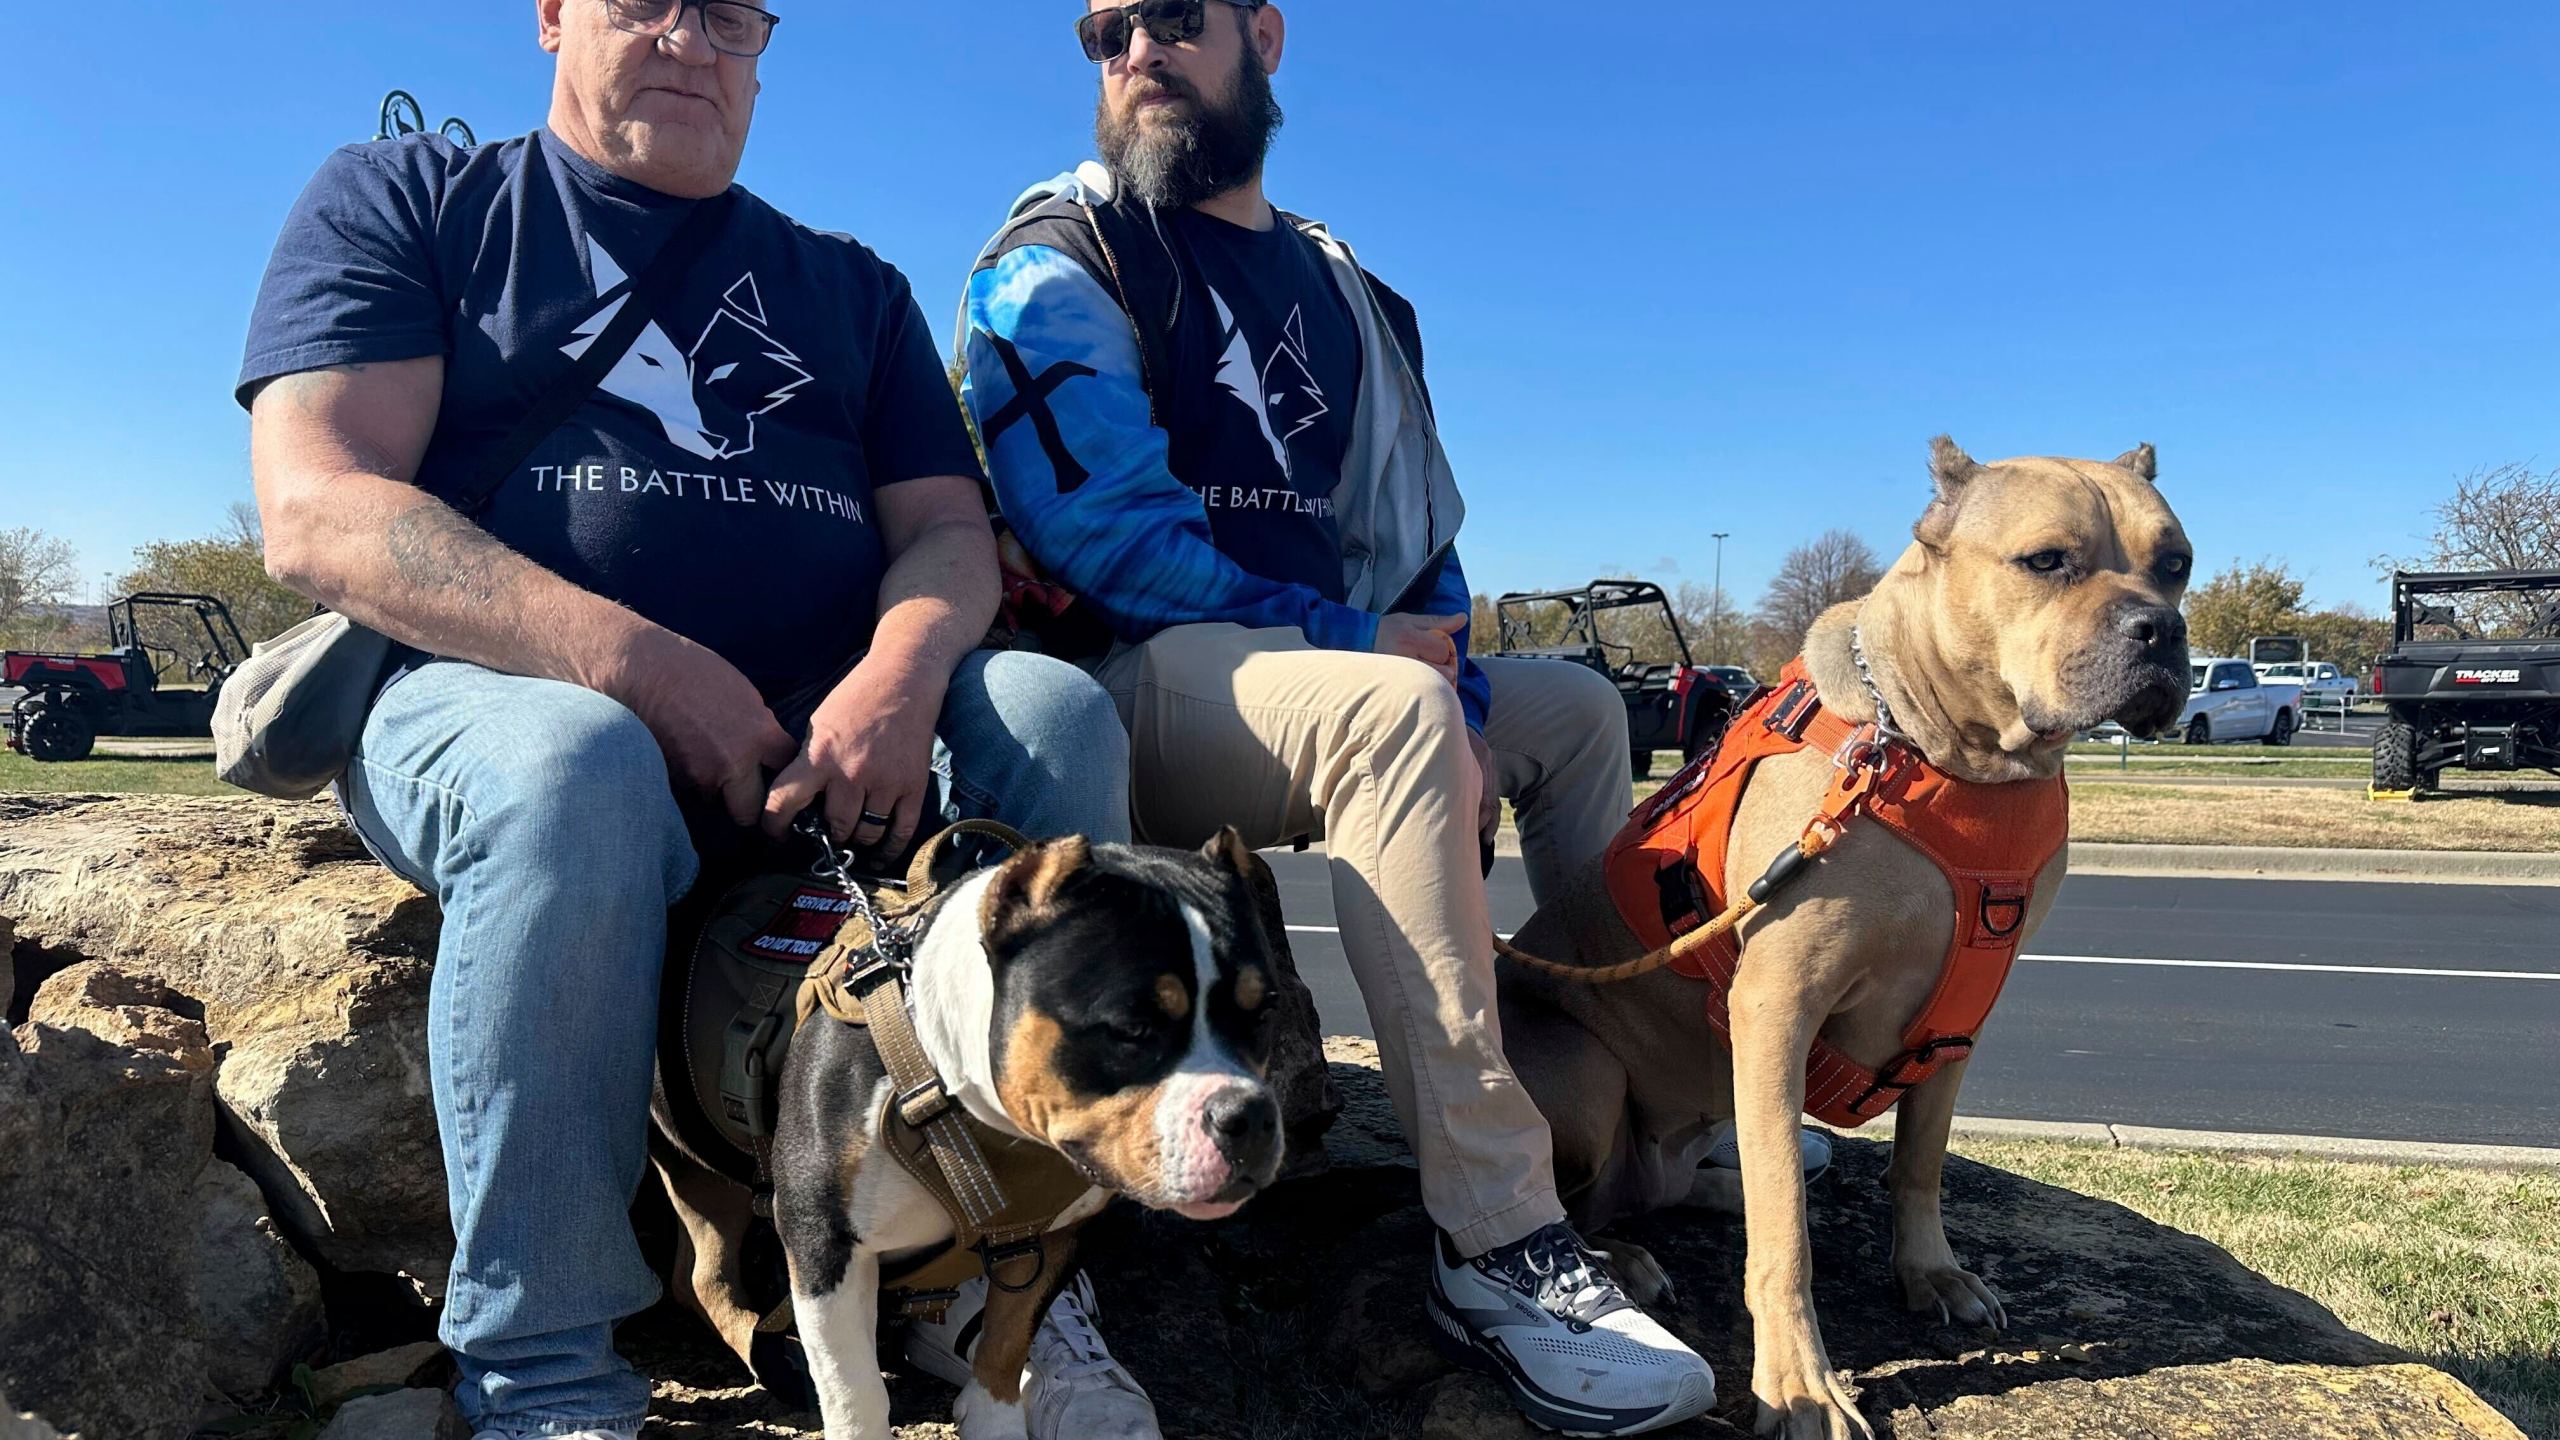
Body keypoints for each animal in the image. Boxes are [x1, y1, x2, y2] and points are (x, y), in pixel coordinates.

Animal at [762, 830, 1274, 1434]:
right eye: (1132, 1028)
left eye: (1264, 1013)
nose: (1250, 1117)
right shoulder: (822, 1242)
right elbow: (853, 1389)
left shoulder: (1047, 1238)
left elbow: (1007, 1341)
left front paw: (995, 1422)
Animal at [1495, 435, 2201, 1434]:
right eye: (2047, 561)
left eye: (2176, 565)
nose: (2161, 631)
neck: (1953, 761)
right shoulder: (1774, 1007)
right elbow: (1784, 1230)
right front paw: (1798, 1381)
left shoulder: (1956, 1027)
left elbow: (1919, 1162)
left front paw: (1929, 1272)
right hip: (1588, 1078)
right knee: (1586, 1201)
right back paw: (1622, 1258)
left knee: (1677, 1181)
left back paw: (1714, 1189)